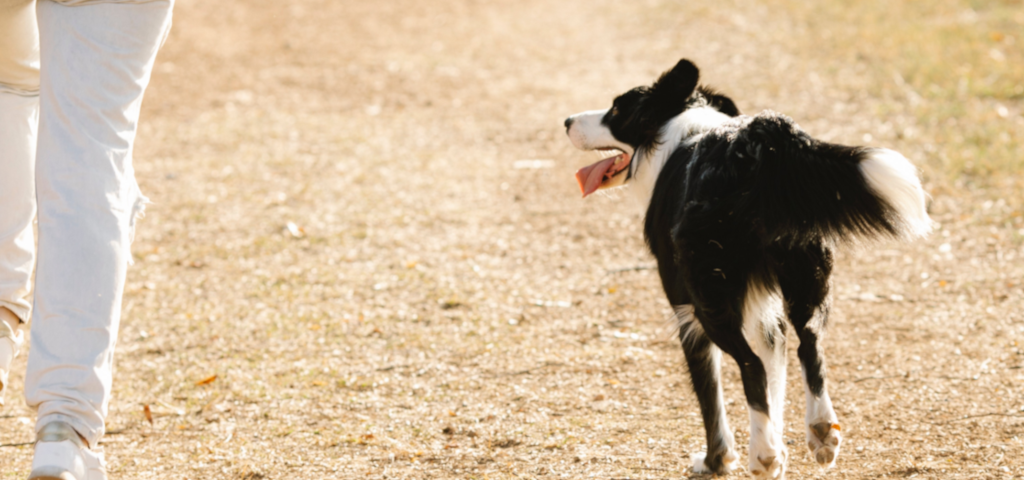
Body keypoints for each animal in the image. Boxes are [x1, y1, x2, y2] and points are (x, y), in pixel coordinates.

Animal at [565, 60, 933, 478]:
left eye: (615, 111)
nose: (567, 121)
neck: (674, 131)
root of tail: (758, 144)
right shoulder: (767, 314)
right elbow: (775, 381)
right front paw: (776, 443)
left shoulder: (685, 311)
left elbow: (712, 394)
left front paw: (722, 459)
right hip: (805, 274)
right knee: (810, 345)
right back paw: (820, 430)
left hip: (710, 295)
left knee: (750, 364)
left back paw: (762, 456)